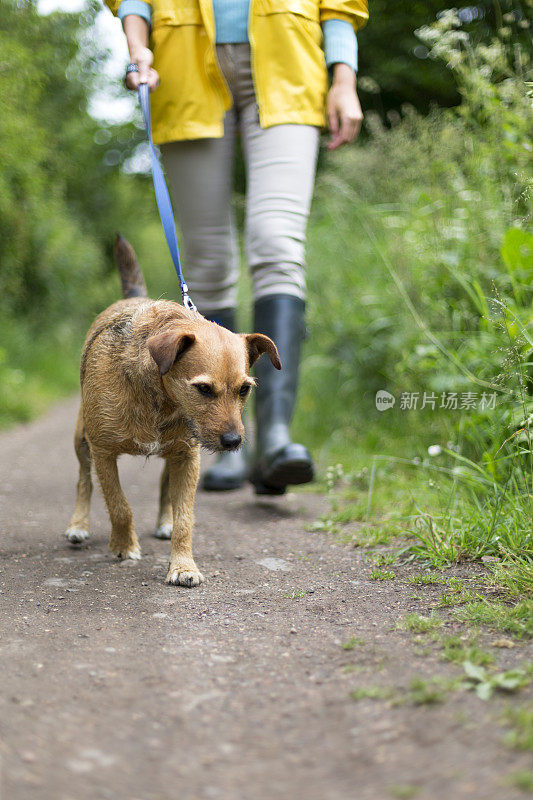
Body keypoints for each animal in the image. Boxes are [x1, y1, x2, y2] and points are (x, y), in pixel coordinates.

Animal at [65, 234, 280, 584]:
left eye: (244, 389)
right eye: (203, 389)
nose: (234, 442)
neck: (160, 401)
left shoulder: (187, 457)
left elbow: (185, 518)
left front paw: (183, 565)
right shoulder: (103, 452)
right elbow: (119, 505)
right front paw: (124, 547)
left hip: (175, 454)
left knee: (166, 486)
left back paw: (163, 522)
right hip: (81, 438)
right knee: (84, 481)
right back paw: (78, 524)